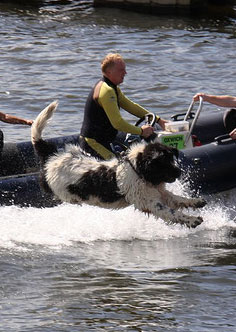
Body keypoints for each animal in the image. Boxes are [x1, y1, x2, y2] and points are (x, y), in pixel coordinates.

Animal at [31, 102, 206, 228]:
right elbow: (171, 212)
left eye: (171, 159)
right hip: (61, 190)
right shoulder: (148, 202)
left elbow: (177, 198)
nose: (179, 172)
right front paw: (192, 220)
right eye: (163, 163)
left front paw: (195, 201)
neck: (137, 170)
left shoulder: (158, 193)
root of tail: (52, 155)